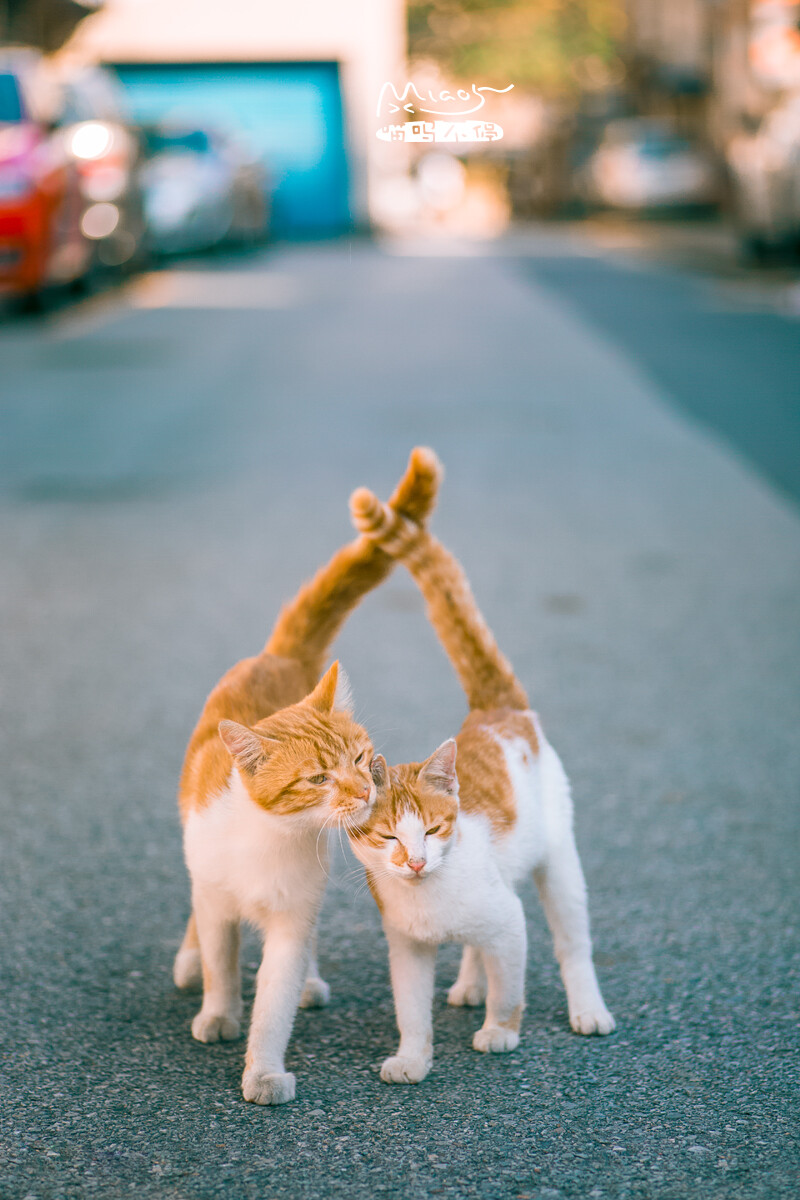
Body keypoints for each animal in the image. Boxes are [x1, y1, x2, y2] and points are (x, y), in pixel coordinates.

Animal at [172, 446, 443, 1099]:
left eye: (361, 760)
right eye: (318, 779)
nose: (365, 788)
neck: (270, 839)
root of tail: (280, 657)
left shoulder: (293, 918)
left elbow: (275, 999)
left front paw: (264, 1068)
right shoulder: (215, 897)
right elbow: (221, 963)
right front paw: (218, 1012)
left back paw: (313, 982)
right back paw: (189, 962)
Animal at [347, 453, 618, 1084]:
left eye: (433, 829)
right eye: (388, 836)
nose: (416, 862)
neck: (430, 900)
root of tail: (496, 708)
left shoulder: (509, 923)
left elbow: (511, 984)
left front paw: (500, 1031)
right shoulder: (406, 947)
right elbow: (411, 1008)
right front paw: (412, 1057)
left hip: (560, 864)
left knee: (573, 944)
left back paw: (587, 1008)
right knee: (479, 948)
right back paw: (469, 980)